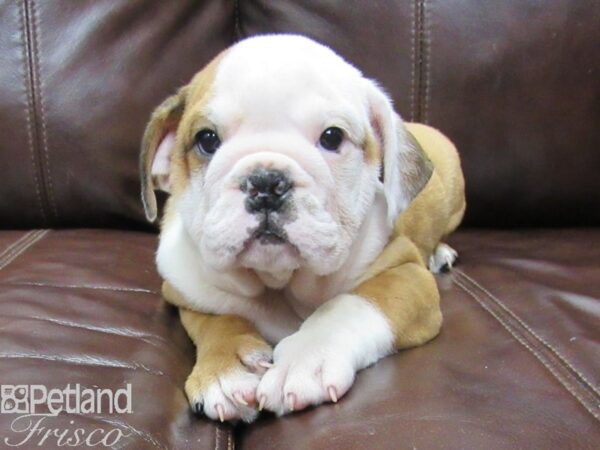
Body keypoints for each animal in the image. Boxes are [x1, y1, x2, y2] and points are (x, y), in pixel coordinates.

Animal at [139, 34, 464, 422]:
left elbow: (348, 305)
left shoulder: (406, 275)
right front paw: (226, 368)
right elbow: (218, 318)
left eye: (332, 137)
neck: (279, 283)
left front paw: (306, 359)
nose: (266, 182)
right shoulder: (184, 292)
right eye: (207, 139)